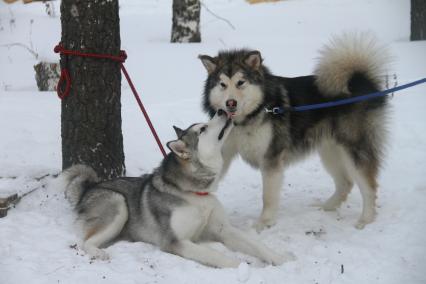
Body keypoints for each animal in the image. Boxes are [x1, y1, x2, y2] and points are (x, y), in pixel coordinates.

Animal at [60, 110, 292, 268]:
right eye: (203, 129)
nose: (221, 110)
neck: (196, 195)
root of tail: (88, 188)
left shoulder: (223, 229)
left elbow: (257, 245)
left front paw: (280, 258)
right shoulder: (175, 241)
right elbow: (217, 255)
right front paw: (240, 265)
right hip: (118, 203)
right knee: (85, 242)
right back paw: (98, 253)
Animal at [200, 34, 390, 232]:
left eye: (240, 83)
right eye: (222, 84)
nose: (230, 103)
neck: (246, 119)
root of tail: (360, 80)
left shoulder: (271, 158)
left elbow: (267, 196)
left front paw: (264, 222)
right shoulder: (222, 150)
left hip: (353, 149)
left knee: (369, 186)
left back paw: (365, 219)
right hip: (330, 151)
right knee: (345, 182)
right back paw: (327, 206)